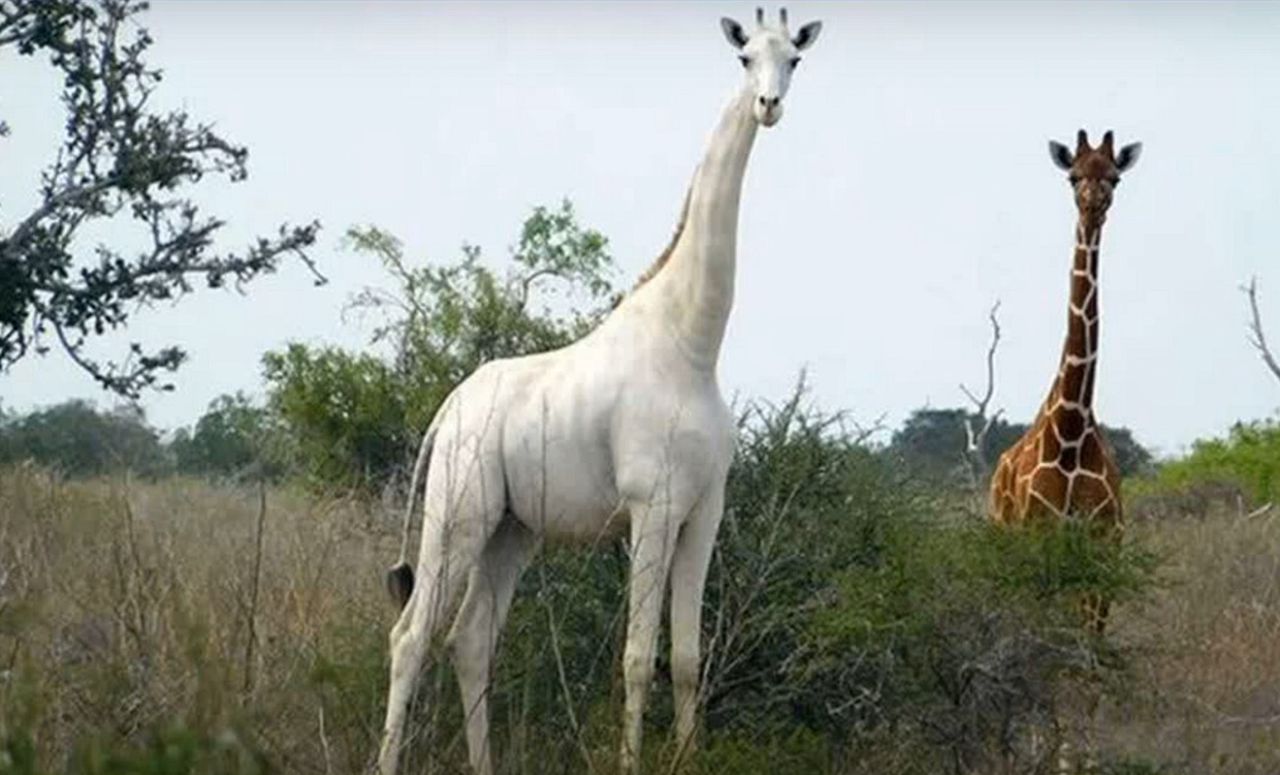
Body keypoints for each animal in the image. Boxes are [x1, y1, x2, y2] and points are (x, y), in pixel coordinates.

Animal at [376, 10, 819, 773]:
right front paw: (632, 762)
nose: (768, 105)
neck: (692, 344)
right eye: (743, 58)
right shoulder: (652, 505)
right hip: (459, 512)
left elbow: (688, 657)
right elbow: (638, 656)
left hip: (512, 529)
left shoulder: (705, 509)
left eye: (793, 58)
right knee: (410, 636)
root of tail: (447, 410)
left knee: (470, 637)